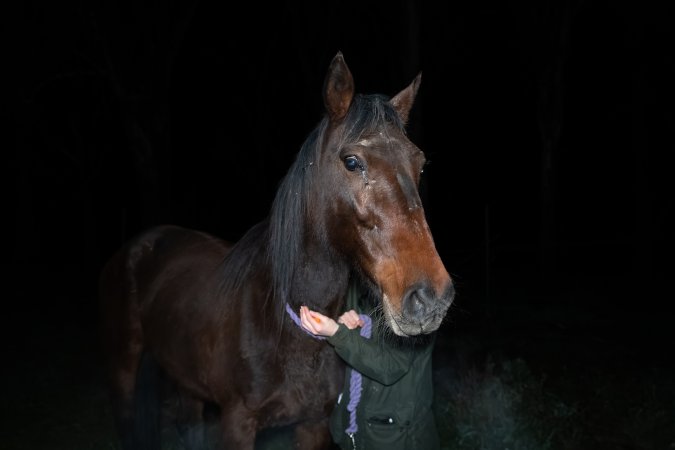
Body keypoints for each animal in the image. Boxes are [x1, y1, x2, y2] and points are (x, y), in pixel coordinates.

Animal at [98, 51, 454, 450]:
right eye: (352, 162)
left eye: (419, 164)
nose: (430, 298)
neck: (283, 325)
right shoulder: (237, 424)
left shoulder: (313, 424)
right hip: (123, 372)